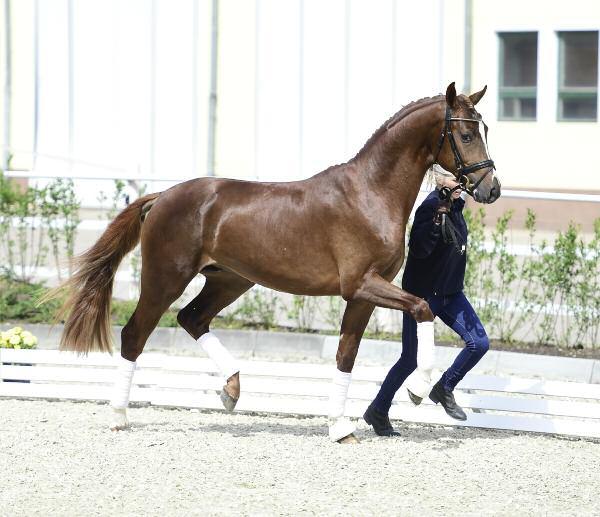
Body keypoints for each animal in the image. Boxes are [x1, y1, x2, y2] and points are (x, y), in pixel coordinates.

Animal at [52, 82, 502, 442]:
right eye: (465, 133)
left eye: (482, 129)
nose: (491, 188)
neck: (370, 193)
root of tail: (162, 196)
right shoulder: (362, 284)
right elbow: (424, 307)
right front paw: (419, 389)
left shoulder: (363, 296)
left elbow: (346, 356)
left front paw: (340, 428)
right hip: (166, 278)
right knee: (135, 335)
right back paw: (119, 416)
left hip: (230, 280)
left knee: (192, 319)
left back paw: (230, 390)